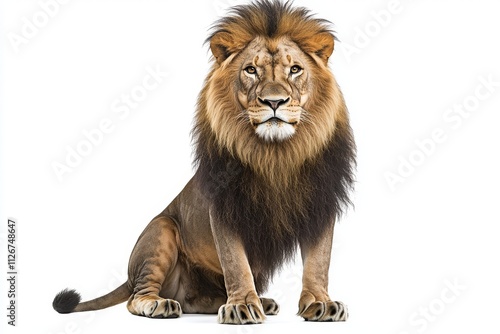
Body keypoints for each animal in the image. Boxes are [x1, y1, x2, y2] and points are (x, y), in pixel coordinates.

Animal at [52, 0, 356, 324]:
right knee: (136, 297)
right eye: (251, 70)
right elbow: (235, 262)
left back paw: (259, 301)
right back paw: (158, 304)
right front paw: (242, 305)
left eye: (295, 69)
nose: (274, 102)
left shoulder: (322, 202)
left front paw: (320, 302)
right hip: (161, 229)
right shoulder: (224, 206)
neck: (276, 154)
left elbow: (318, 261)